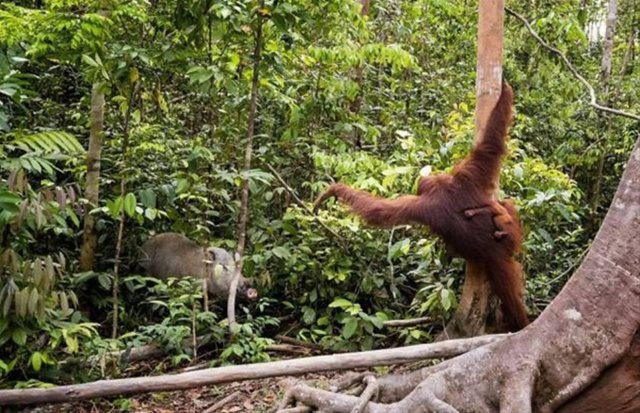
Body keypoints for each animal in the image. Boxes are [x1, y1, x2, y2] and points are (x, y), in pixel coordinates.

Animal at [313, 82, 528, 331]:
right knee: (505, 204)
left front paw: (332, 191)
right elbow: (491, 144)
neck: (443, 189)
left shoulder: (438, 192)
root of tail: (495, 253)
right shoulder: (465, 176)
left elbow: (380, 212)